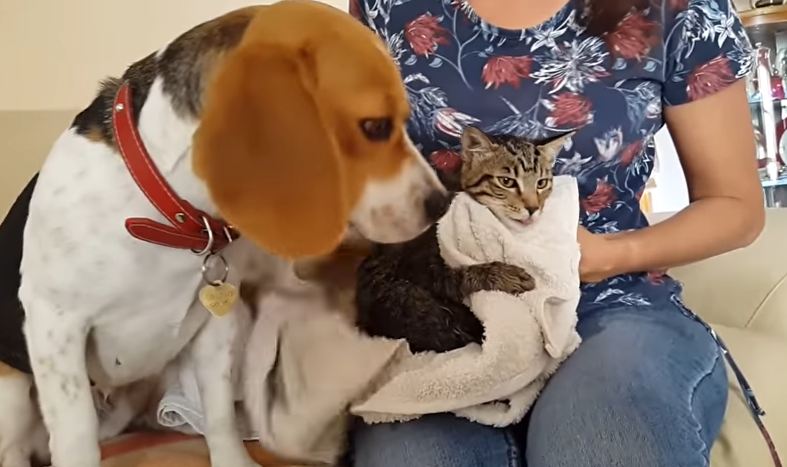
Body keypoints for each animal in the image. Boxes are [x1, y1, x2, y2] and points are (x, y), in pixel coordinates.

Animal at [3, 0, 450, 467]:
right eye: (375, 126)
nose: (441, 202)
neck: (165, 213)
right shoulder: (56, 326)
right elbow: (77, 435)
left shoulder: (214, 323)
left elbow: (218, 415)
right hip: (11, 387)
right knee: (15, 446)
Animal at [358, 126, 572, 352]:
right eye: (506, 182)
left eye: (542, 183)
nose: (533, 209)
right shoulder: (418, 266)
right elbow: (457, 277)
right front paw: (504, 274)